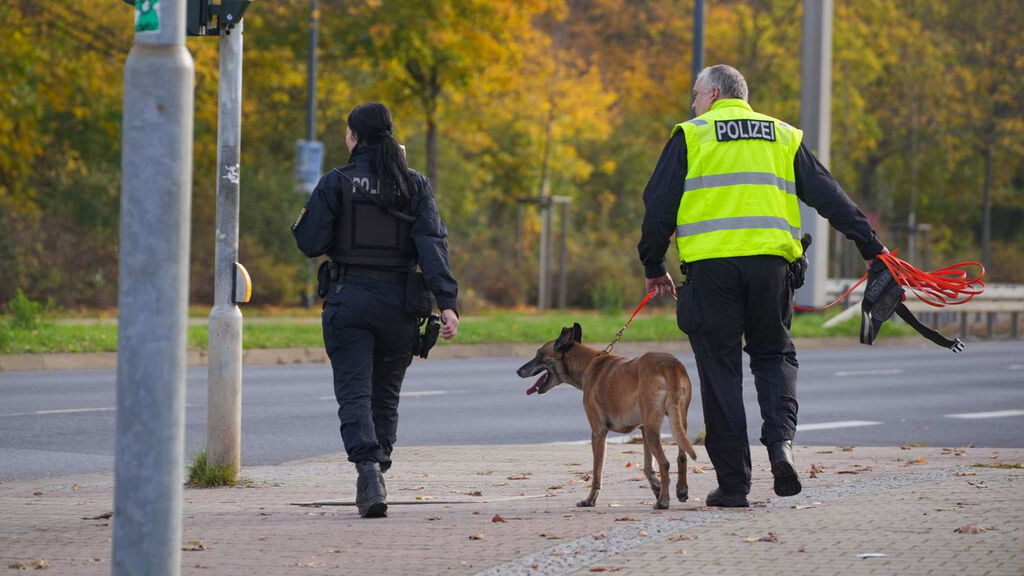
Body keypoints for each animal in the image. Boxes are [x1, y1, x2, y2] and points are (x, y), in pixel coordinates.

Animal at [517, 322, 697, 509]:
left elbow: (597, 473)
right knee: (681, 457)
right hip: (675, 422)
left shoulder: (598, 432)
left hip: (653, 428)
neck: (588, 363)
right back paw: (681, 490)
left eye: (539, 354)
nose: (518, 371)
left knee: (665, 463)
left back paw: (663, 501)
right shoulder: (642, 429)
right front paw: (657, 487)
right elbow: (648, 467)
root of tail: (670, 364)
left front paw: (589, 500)